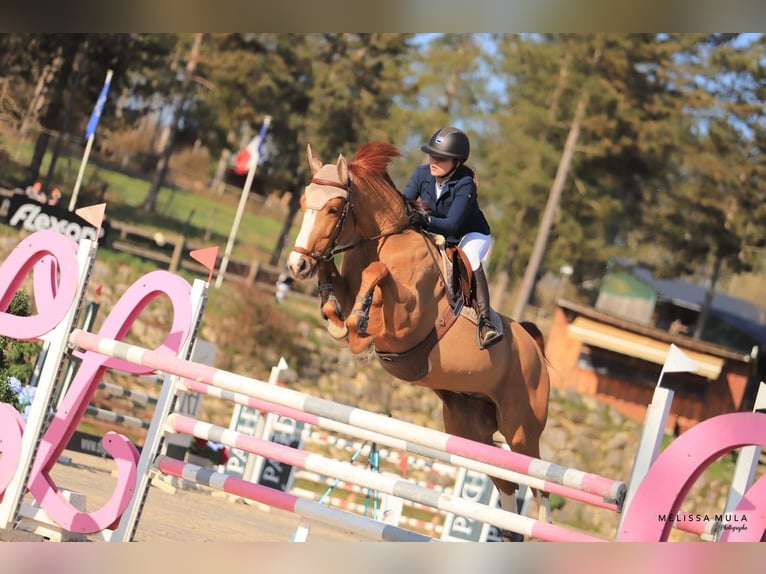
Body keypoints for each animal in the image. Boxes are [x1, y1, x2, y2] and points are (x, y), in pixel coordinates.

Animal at [287, 142, 551, 534]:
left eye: (334, 208)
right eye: (304, 202)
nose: (296, 265)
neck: (383, 241)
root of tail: (534, 346)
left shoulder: (406, 325)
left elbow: (375, 275)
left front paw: (359, 329)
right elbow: (336, 285)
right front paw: (336, 315)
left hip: (521, 431)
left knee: (539, 484)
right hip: (470, 431)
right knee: (506, 484)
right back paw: (508, 532)